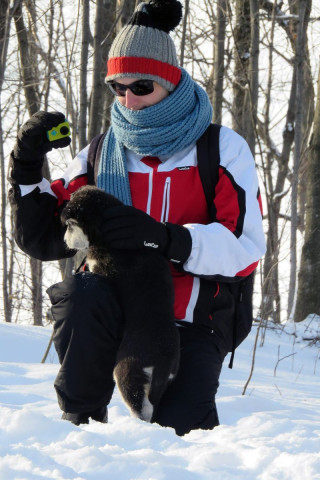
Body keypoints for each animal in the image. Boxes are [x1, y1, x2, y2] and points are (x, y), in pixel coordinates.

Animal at [60, 186, 180, 422]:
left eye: (69, 225)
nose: (64, 240)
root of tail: (163, 360)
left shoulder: (103, 267)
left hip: (127, 371)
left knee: (141, 406)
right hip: (167, 378)